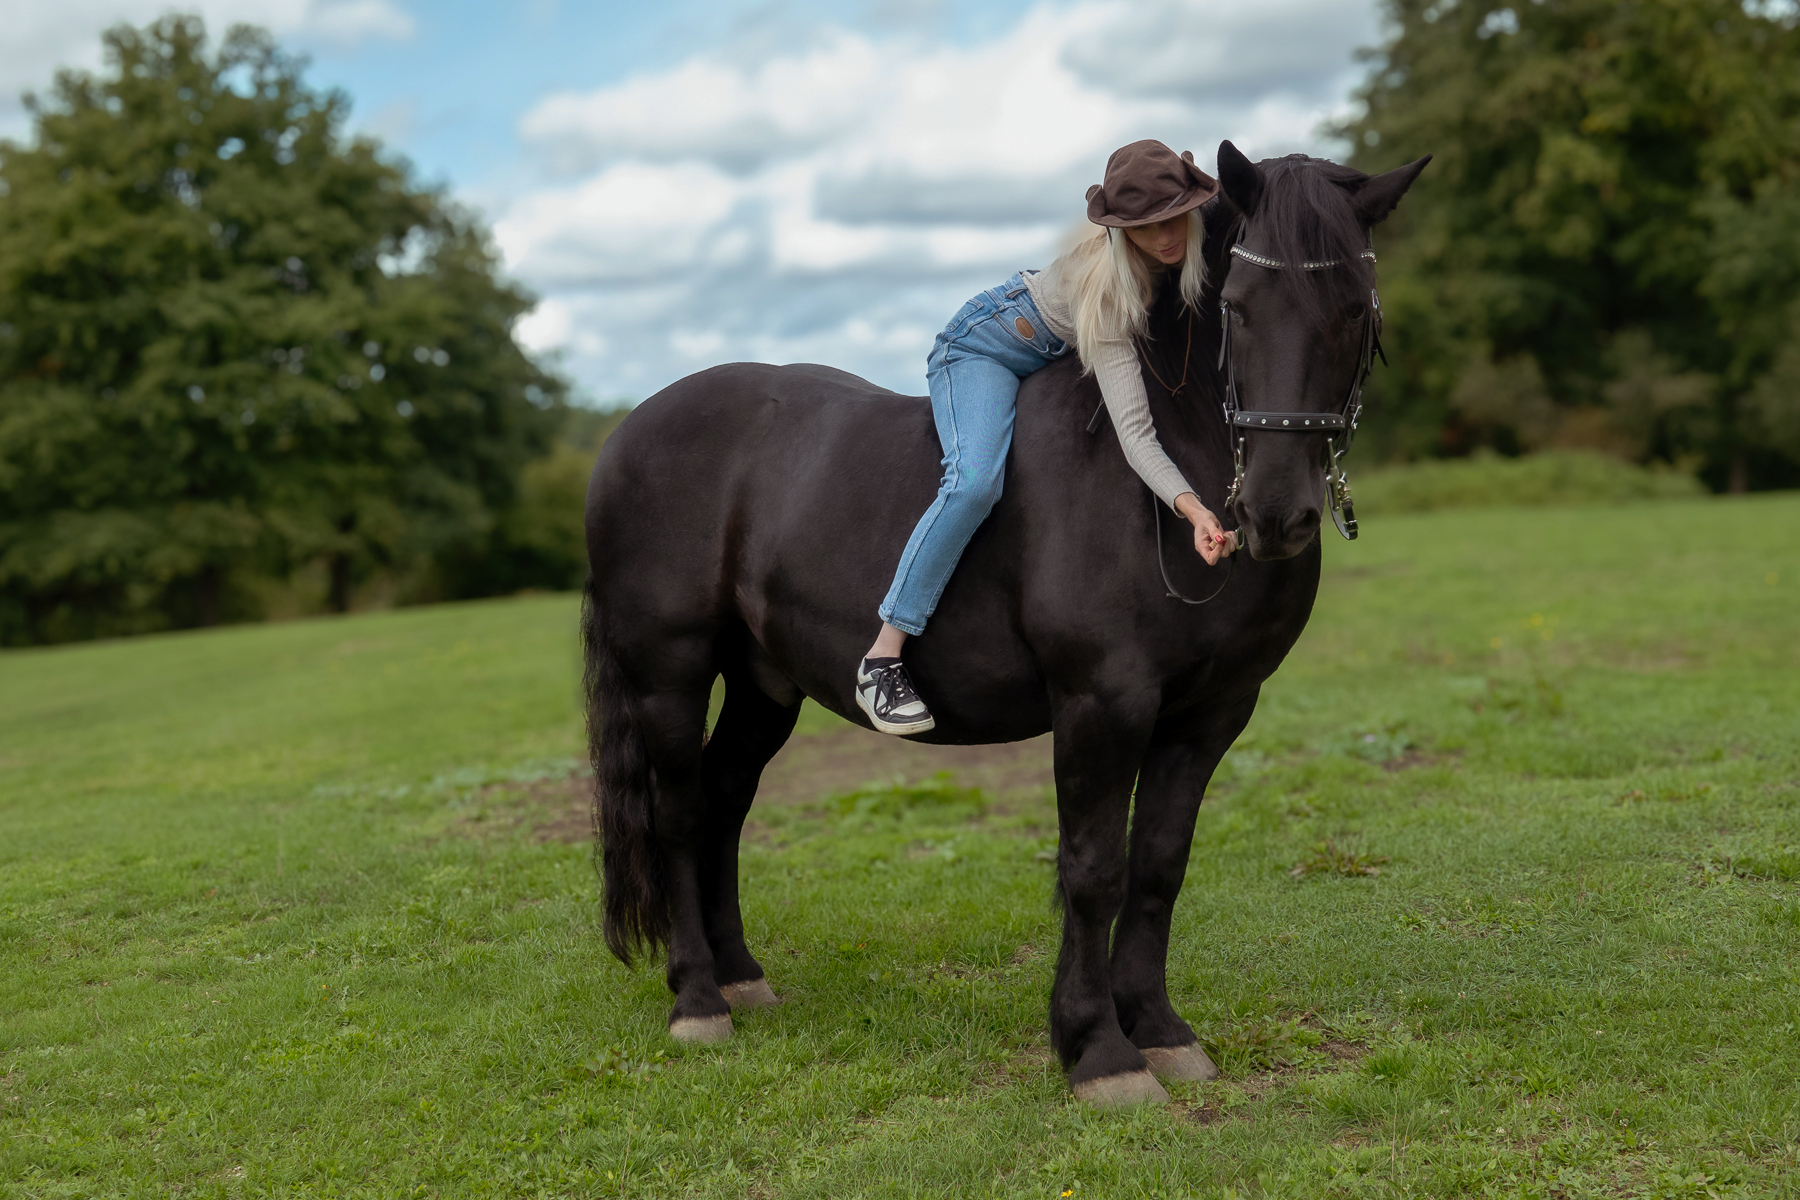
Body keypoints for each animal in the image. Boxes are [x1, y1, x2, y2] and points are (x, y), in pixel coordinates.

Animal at [581, 141, 1430, 1106]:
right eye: (1239, 309)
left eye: (1355, 310)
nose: (1276, 512)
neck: (1154, 477)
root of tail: (631, 430)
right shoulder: (1103, 704)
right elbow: (1093, 869)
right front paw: (1098, 1049)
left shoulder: (1211, 713)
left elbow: (1159, 865)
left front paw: (1162, 1030)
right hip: (670, 672)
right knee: (681, 813)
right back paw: (696, 999)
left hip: (765, 683)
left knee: (725, 799)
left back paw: (740, 978)